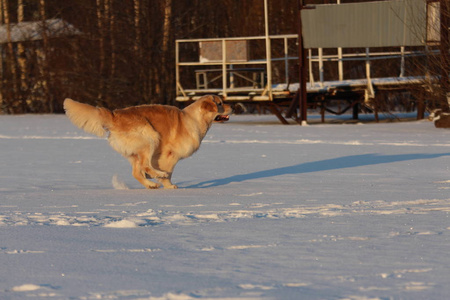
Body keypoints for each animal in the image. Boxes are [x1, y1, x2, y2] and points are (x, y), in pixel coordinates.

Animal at [63, 95, 232, 189]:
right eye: (220, 103)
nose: (232, 107)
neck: (194, 119)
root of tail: (114, 115)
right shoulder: (170, 155)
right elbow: (169, 172)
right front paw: (168, 184)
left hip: (135, 151)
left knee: (136, 172)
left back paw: (151, 184)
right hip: (150, 137)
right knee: (144, 165)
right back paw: (157, 176)